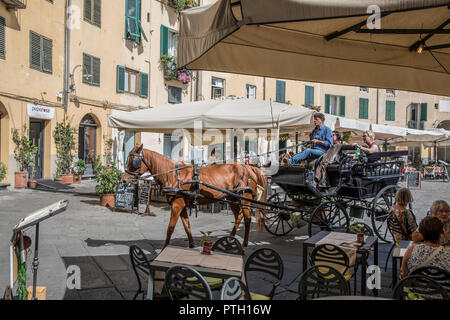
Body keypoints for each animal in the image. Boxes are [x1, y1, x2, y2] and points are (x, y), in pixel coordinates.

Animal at [123, 144, 266, 248]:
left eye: (134, 161)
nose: (124, 180)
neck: (173, 175)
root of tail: (249, 167)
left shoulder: (177, 205)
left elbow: (170, 228)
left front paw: (164, 249)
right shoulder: (181, 205)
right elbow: (187, 226)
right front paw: (191, 245)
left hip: (244, 199)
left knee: (247, 219)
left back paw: (245, 243)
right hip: (233, 199)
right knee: (239, 217)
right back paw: (230, 239)